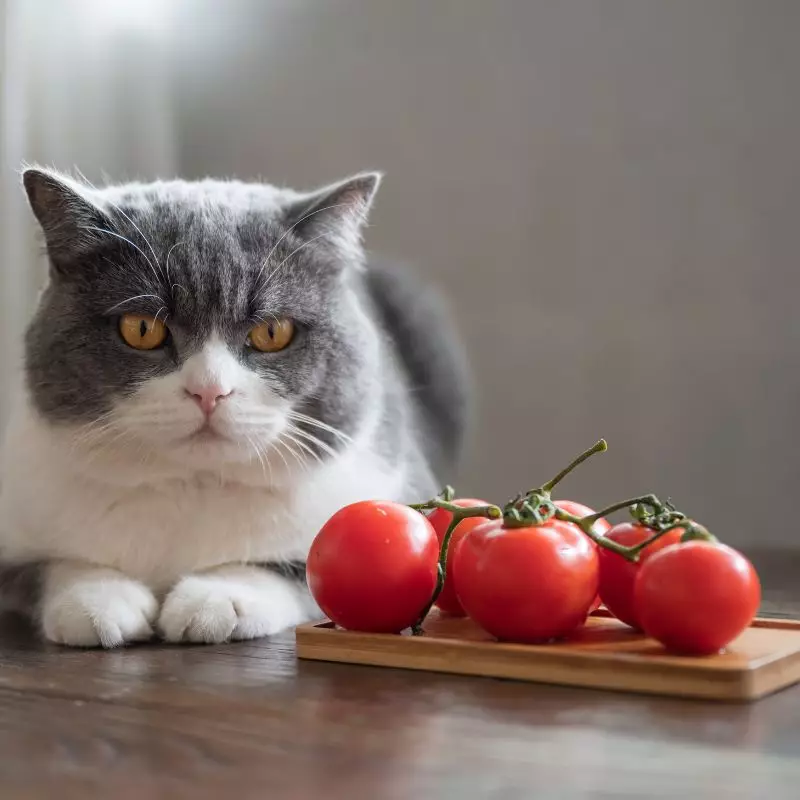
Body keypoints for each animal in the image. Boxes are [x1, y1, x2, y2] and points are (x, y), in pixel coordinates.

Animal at [0, 166, 468, 648]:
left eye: (272, 332)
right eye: (141, 328)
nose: (209, 391)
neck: (193, 485)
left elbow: (298, 567)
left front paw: (216, 598)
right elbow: (43, 568)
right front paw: (98, 600)